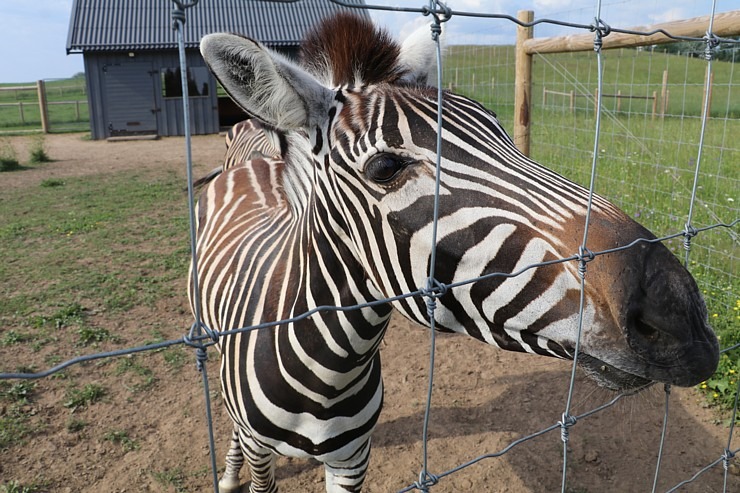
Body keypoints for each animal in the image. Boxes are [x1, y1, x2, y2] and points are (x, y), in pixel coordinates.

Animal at [192, 13, 716, 490]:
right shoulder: (266, 451)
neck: (332, 368)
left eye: (505, 137)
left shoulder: (351, 458)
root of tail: (256, 161)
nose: (681, 315)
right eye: (385, 168)